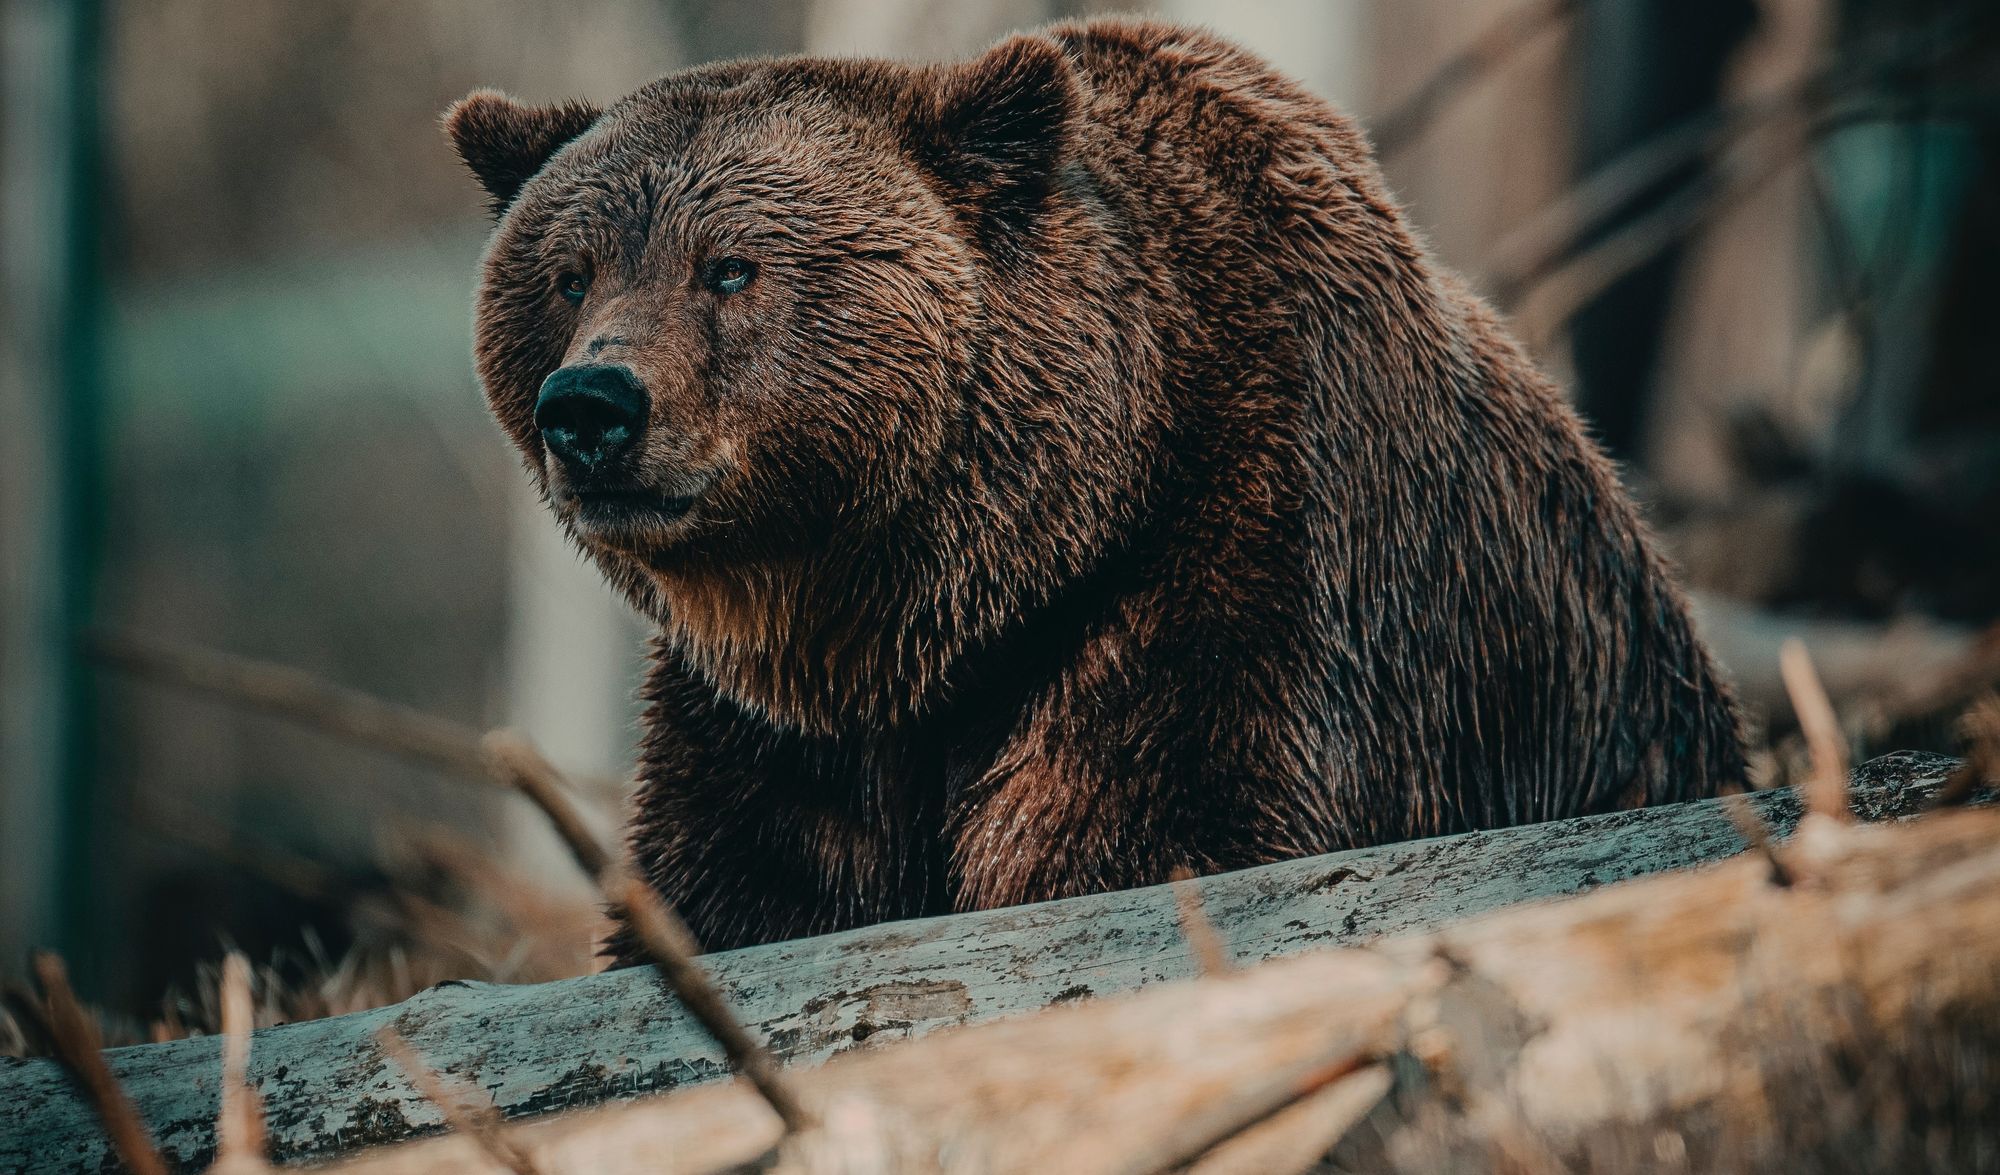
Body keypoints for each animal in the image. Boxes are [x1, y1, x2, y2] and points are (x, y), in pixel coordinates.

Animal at [444, 17, 1746, 957]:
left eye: (730, 267)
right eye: (568, 273)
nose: (591, 407)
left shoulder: (1244, 559)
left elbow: (1152, 828)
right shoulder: (777, 734)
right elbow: (736, 888)